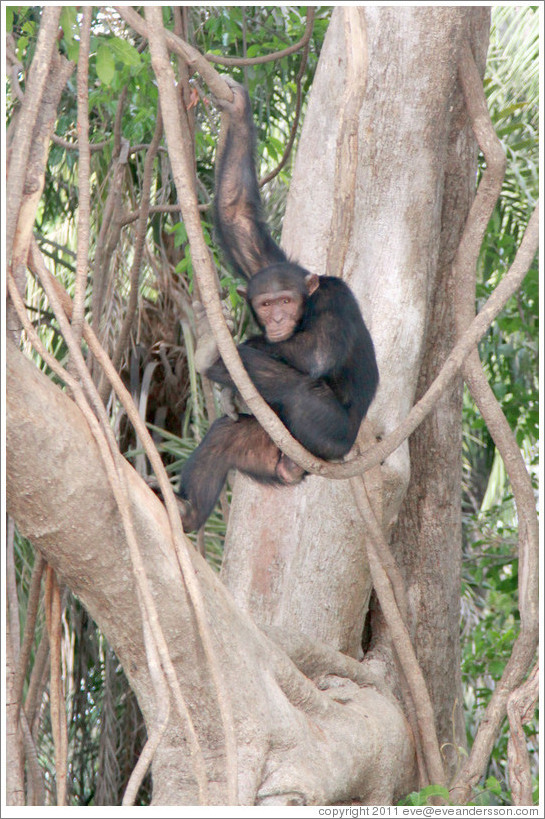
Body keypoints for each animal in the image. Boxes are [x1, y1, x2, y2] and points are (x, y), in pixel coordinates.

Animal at [175, 81, 378, 532]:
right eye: (267, 303)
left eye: (286, 301)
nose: (279, 318)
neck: (308, 301)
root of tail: (298, 469)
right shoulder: (264, 266)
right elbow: (238, 218)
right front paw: (236, 109)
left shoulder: (336, 298)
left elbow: (317, 351)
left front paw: (231, 342)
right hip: (267, 450)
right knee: (224, 438)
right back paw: (185, 511)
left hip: (330, 438)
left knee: (298, 391)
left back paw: (212, 354)